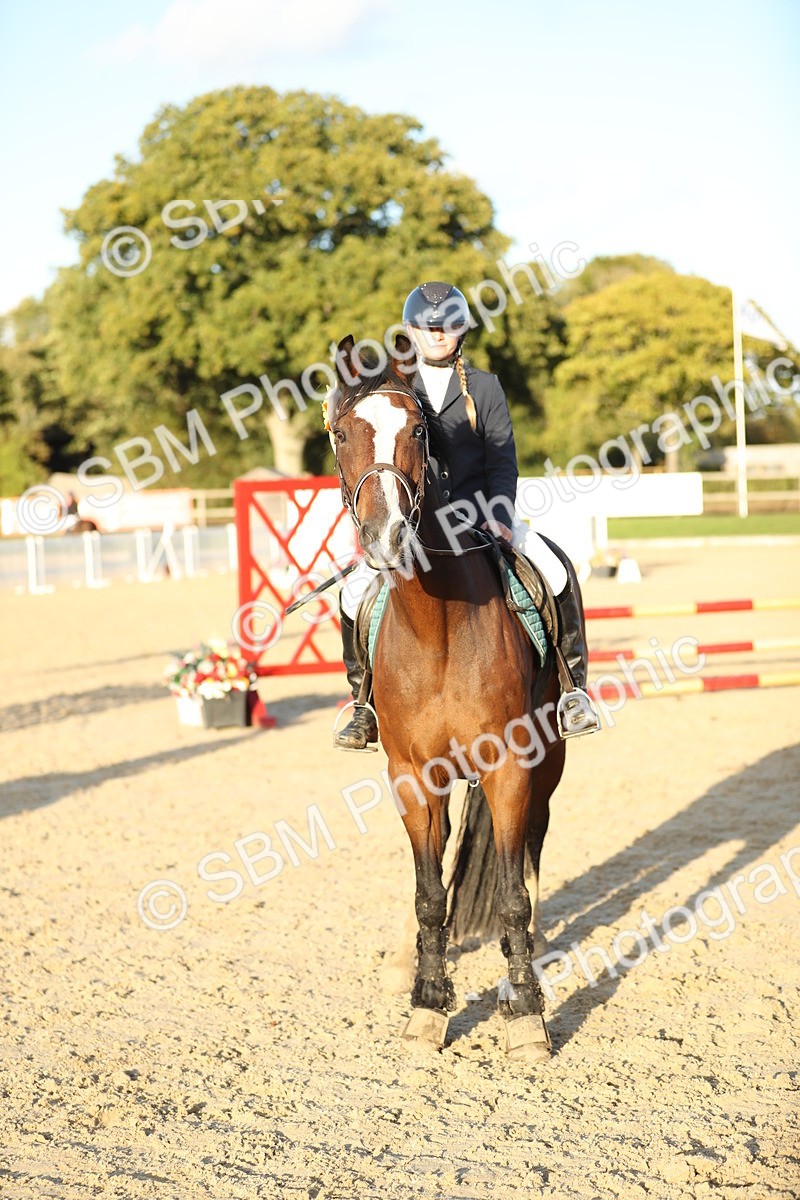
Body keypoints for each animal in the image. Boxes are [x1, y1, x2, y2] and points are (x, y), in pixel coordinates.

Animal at [330, 333, 568, 1060]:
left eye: (418, 430)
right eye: (342, 432)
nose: (387, 538)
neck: (436, 627)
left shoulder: (510, 768)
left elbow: (513, 896)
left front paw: (525, 1014)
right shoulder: (412, 775)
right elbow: (429, 893)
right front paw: (428, 1005)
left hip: (548, 767)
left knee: (533, 856)